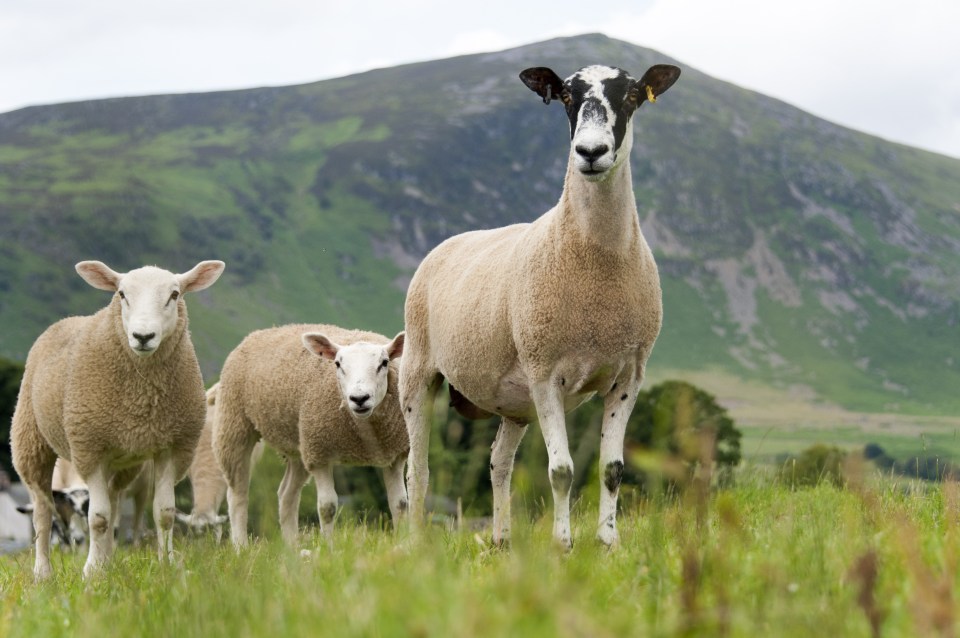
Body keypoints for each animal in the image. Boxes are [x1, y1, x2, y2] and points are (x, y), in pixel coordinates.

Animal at [12, 258, 226, 580]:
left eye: (174, 294)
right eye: (122, 294)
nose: (143, 337)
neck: (142, 397)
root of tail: (67, 320)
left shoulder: (172, 447)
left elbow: (163, 514)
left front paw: (167, 565)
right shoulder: (89, 448)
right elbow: (97, 518)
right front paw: (90, 572)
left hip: (124, 463)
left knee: (113, 505)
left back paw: (107, 561)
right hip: (31, 440)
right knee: (42, 510)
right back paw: (44, 572)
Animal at [214, 324, 404, 552]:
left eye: (384, 363)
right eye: (338, 364)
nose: (359, 399)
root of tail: (257, 333)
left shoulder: (394, 455)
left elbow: (400, 504)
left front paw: (407, 544)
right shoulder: (319, 454)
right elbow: (327, 507)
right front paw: (330, 550)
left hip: (299, 443)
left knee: (286, 494)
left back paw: (291, 548)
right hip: (235, 424)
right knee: (238, 494)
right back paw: (241, 547)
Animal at [398, 63, 684, 552]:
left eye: (631, 96)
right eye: (566, 96)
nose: (590, 152)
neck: (597, 265)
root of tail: (448, 243)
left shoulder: (628, 376)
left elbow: (611, 470)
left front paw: (608, 543)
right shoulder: (545, 372)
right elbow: (562, 471)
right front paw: (563, 545)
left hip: (514, 401)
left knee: (498, 462)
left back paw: (501, 539)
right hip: (418, 370)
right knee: (418, 470)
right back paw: (417, 544)